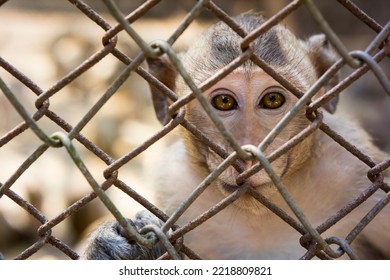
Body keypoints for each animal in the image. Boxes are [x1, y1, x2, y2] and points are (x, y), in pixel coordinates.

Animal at [80, 12, 390, 260]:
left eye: (273, 99)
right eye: (224, 102)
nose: (246, 153)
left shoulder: (350, 170)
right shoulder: (174, 183)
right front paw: (109, 247)